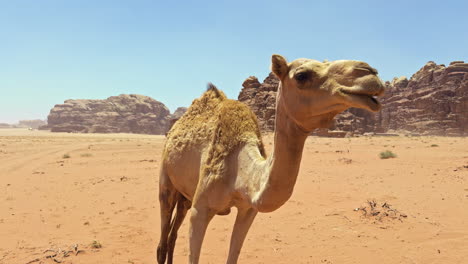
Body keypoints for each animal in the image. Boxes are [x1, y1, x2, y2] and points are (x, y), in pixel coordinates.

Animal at [157, 54, 384, 262]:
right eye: (301, 76)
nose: (369, 72)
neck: (239, 172)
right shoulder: (201, 209)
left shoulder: (248, 210)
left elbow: (233, 255)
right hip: (166, 182)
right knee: (163, 240)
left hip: (185, 196)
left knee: (172, 235)